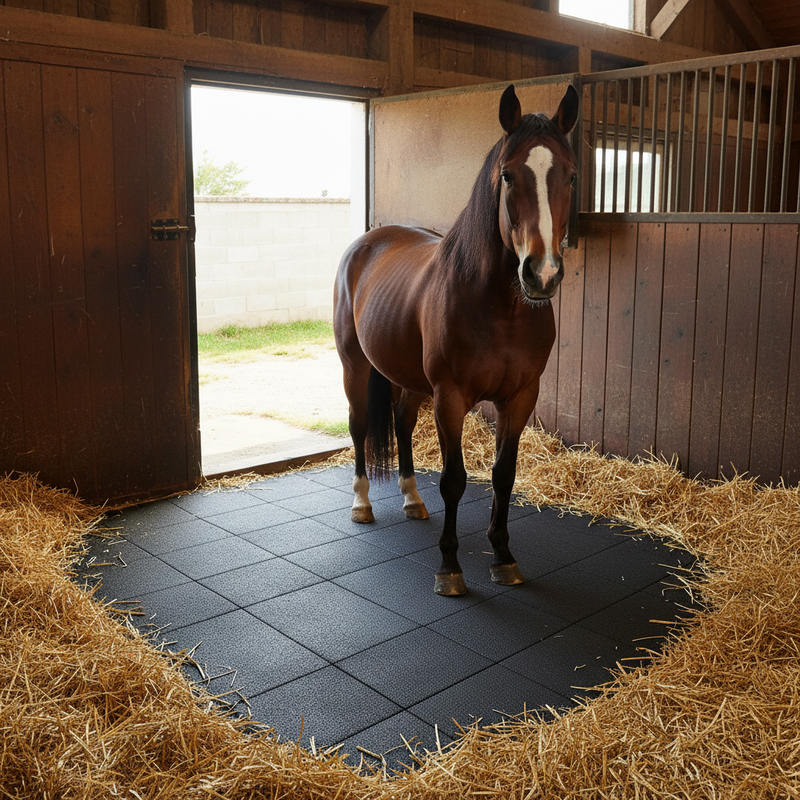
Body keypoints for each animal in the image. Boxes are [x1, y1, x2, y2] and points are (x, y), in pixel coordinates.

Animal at [333, 84, 579, 596]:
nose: (542, 274)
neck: (501, 310)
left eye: (570, 175)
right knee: (360, 426)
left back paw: (411, 499)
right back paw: (362, 504)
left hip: (407, 378)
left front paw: (503, 557)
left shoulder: (520, 397)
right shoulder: (450, 397)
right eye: (507, 175)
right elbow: (453, 479)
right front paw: (449, 568)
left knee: (402, 424)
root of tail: (366, 243)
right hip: (355, 367)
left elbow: (503, 474)